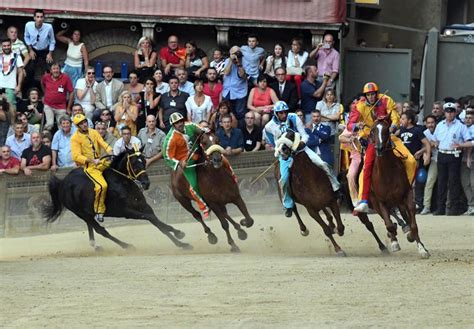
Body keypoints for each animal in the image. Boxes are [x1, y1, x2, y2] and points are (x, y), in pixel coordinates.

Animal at [42, 147, 191, 250]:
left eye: (144, 162)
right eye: (134, 164)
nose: (146, 183)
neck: (123, 182)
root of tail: (62, 183)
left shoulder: (143, 205)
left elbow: (157, 222)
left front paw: (180, 239)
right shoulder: (126, 211)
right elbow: (152, 219)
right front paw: (179, 236)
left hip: (88, 213)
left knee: (92, 228)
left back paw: (95, 246)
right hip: (81, 213)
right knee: (101, 230)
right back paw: (126, 245)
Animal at [368, 116, 432, 258]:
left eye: (386, 130)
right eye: (372, 130)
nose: (379, 148)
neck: (387, 173)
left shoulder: (407, 194)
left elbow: (413, 224)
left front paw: (422, 249)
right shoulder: (380, 201)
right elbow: (389, 224)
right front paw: (394, 242)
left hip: (400, 201)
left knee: (405, 217)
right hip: (376, 202)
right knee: (389, 220)